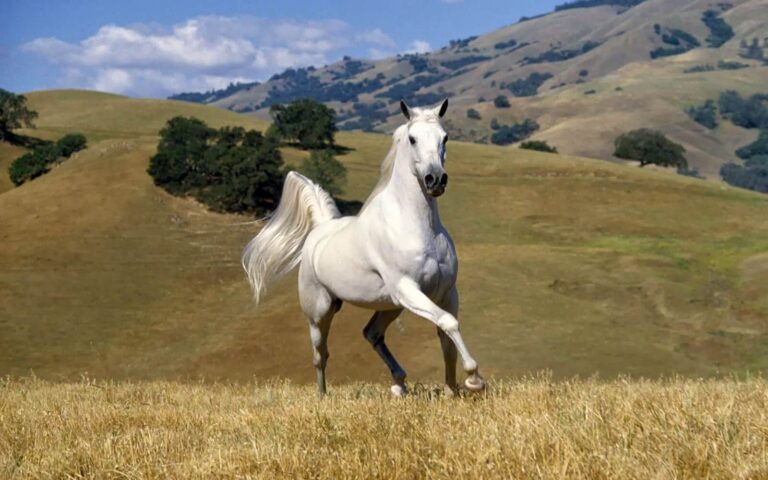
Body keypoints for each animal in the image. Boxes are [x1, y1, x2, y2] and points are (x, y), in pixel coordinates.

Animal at [242, 99, 485, 397]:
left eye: (445, 137)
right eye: (413, 139)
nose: (435, 179)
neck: (418, 227)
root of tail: (321, 228)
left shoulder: (446, 292)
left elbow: (446, 335)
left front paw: (452, 390)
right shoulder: (408, 288)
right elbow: (448, 323)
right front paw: (474, 380)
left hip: (391, 305)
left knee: (372, 333)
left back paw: (399, 384)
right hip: (320, 312)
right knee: (320, 355)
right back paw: (323, 397)